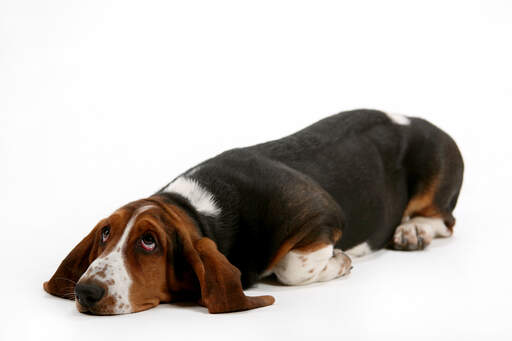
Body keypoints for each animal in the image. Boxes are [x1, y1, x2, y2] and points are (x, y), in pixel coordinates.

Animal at [44, 109, 462, 314]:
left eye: (149, 242)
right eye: (105, 233)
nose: (85, 291)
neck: (199, 210)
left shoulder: (323, 215)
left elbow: (293, 267)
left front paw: (340, 261)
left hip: (437, 173)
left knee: (444, 220)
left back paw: (412, 231)